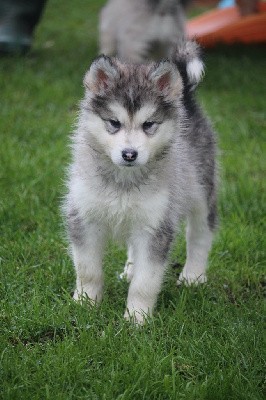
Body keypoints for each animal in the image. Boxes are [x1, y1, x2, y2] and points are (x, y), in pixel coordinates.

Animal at [63, 39, 217, 324]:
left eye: (149, 124)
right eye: (114, 122)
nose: (129, 154)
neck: (123, 181)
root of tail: (186, 100)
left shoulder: (156, 226)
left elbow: (146, 282)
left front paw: (136, 319)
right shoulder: (84, 216)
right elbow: (88, 269)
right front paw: (86, 304)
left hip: (202, 190)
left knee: (201, 232)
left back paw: (193, 276)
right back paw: (130, 270)